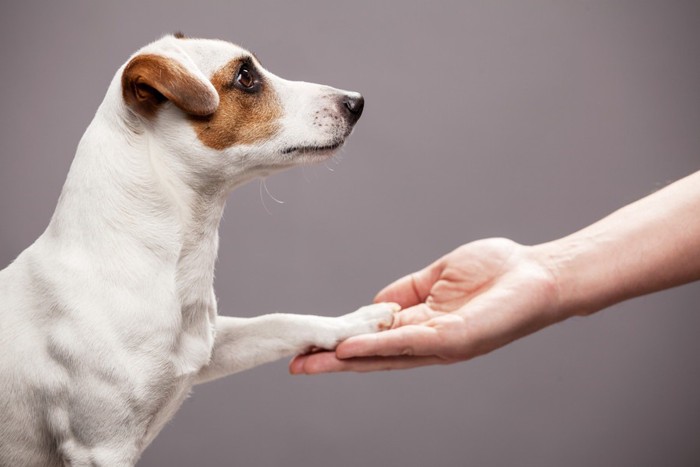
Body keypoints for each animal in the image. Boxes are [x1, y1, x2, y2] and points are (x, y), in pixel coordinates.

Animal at [0, 34, 400, 466]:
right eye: (245, 77)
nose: (356, 102)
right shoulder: (102, 447)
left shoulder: (211, 345)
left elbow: (280, 322)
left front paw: (357, 321)